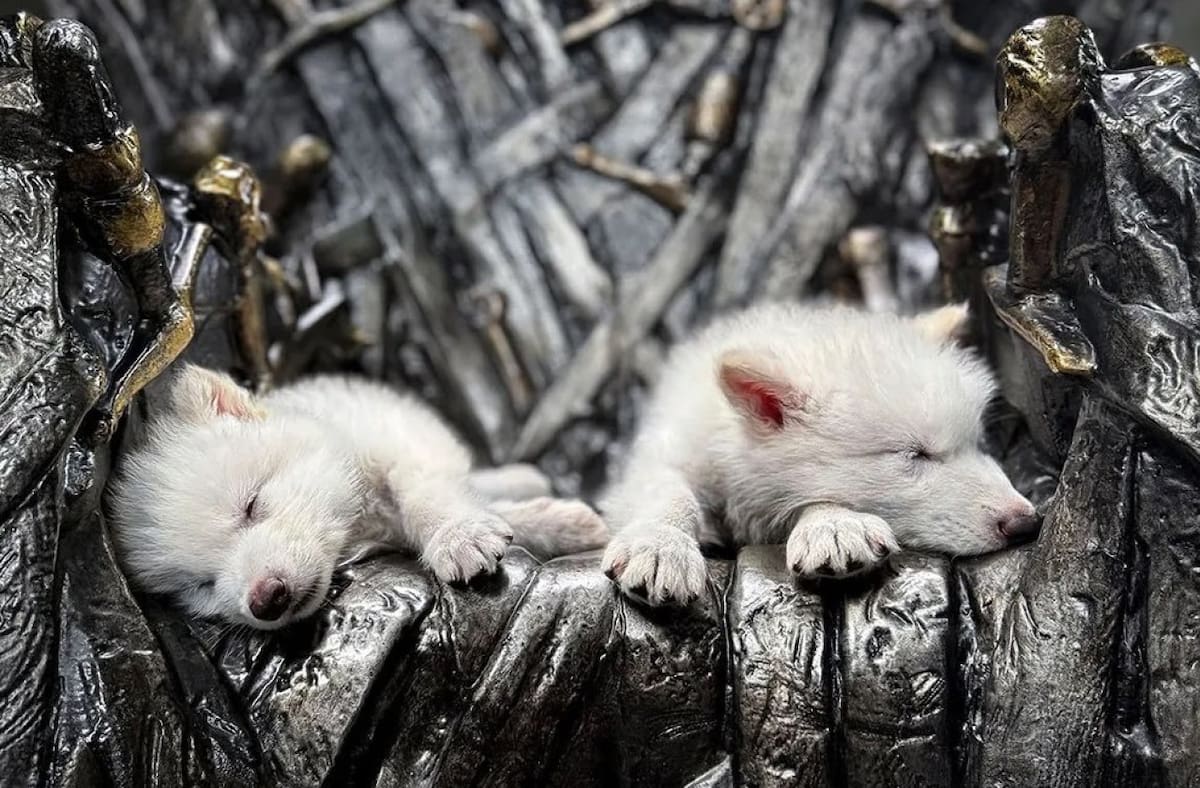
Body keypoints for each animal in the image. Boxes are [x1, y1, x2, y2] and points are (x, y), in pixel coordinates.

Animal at [109, 366, 607, 630]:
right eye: (202, 585)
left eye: (251, 505)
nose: (265, 599)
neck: (358, 521)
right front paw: (555, 524)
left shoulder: (402, 447)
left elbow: (426, 495)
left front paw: (458, 535)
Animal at [600, 302, 1038, 605]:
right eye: (915, 454)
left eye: (976, 444)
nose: (1027, 524)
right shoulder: (667, 450)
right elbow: (668, 491)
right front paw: (660, 545)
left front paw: (833, 525)